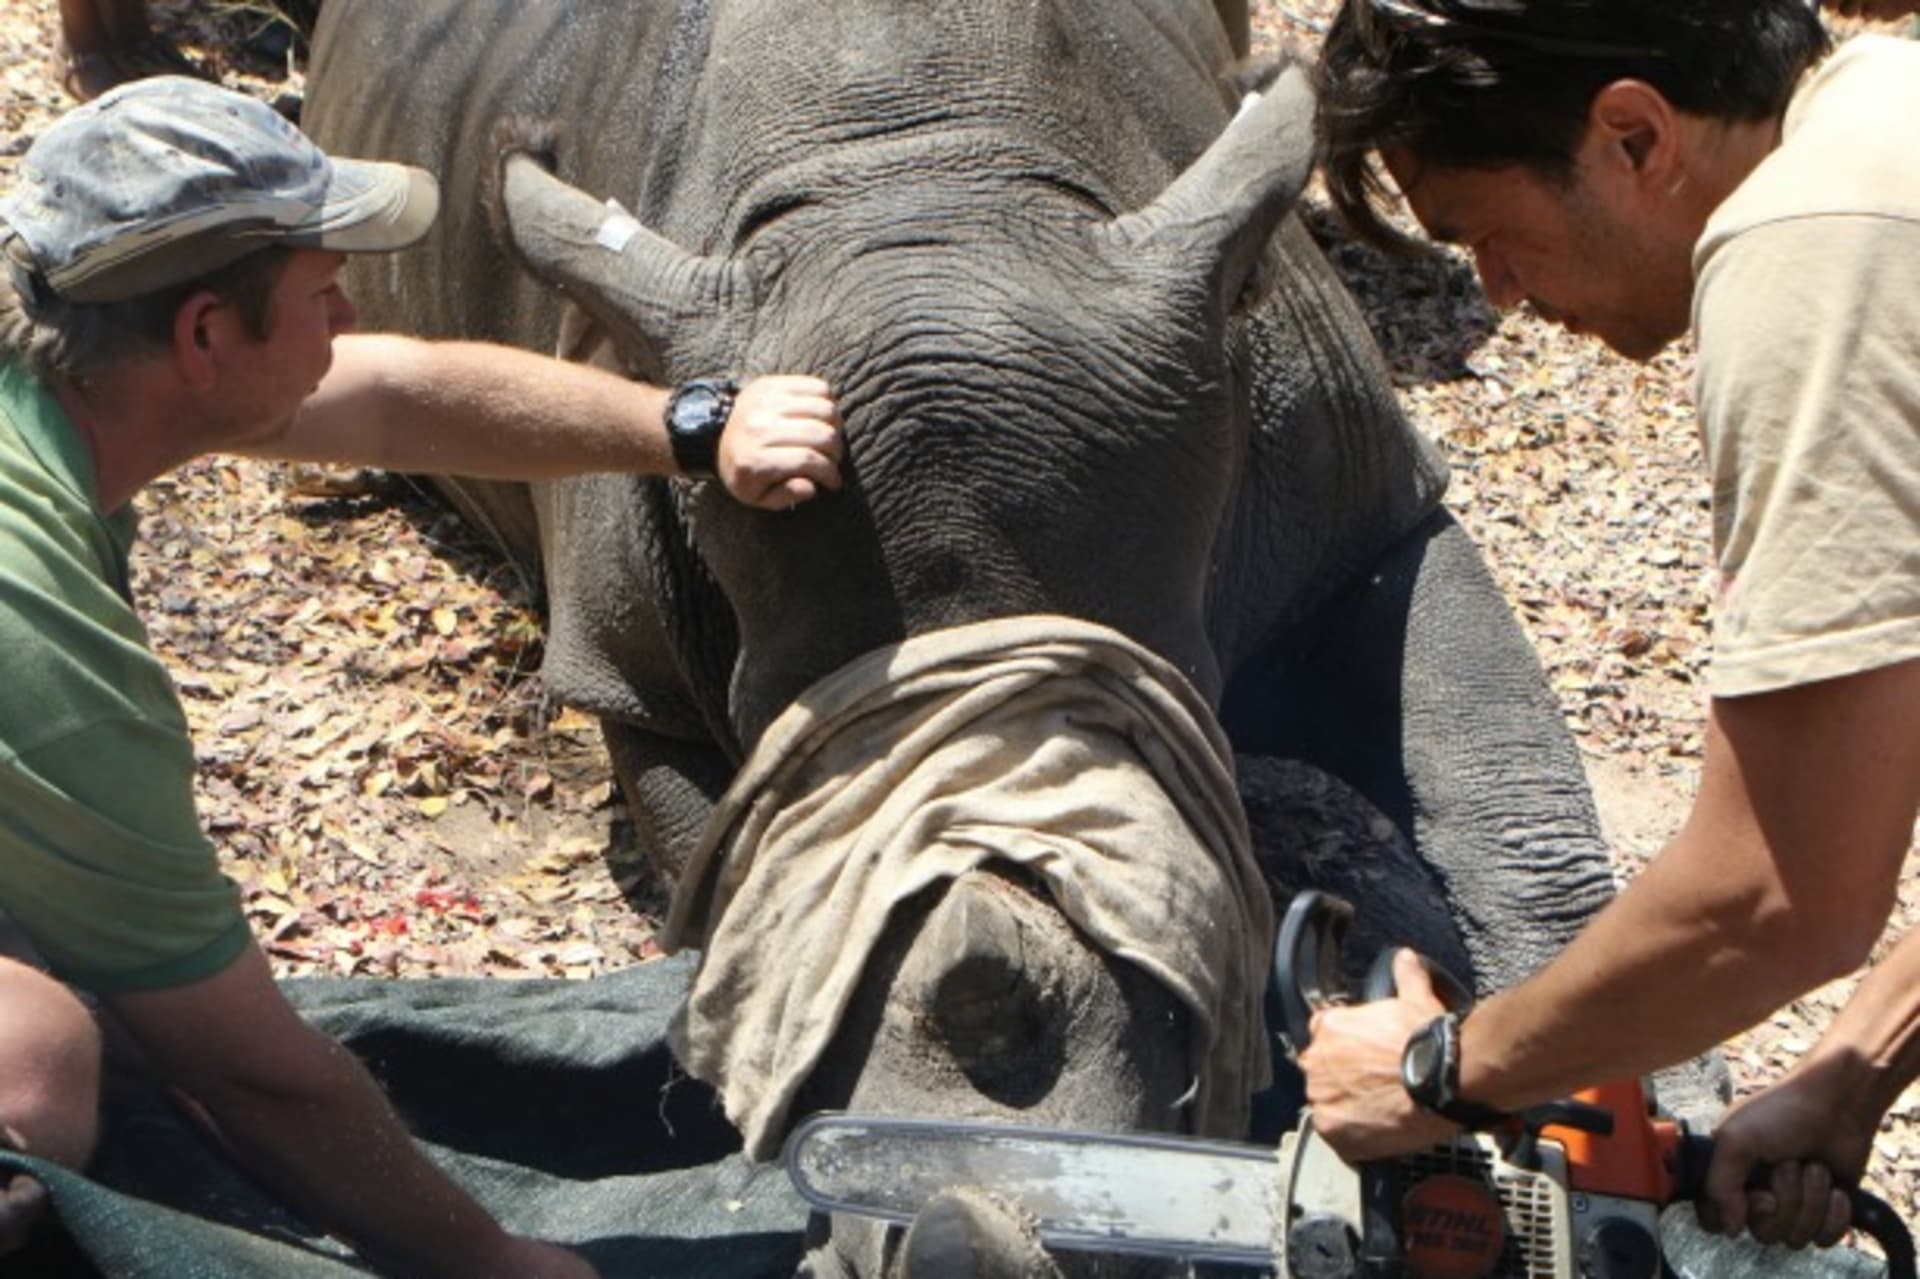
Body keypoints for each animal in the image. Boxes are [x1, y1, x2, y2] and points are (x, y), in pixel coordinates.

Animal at [301, 1, 1628, 1272]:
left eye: (1174, 714)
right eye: (782, 755)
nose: (967, 1227)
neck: (925, 182)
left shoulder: (1352, 487)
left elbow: (1501, 778)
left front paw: (1577, 1133)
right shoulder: (632, 660)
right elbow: (727, 894)